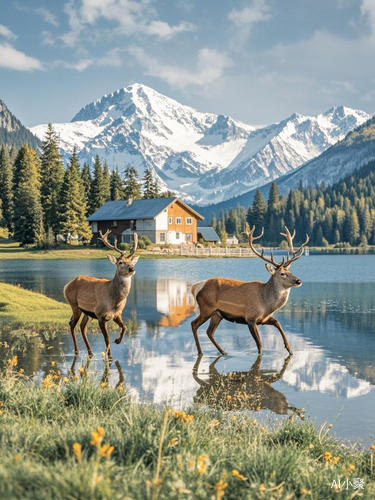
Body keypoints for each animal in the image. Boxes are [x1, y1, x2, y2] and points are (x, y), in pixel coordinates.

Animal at [63, 230, 140, 360]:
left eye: (131, 261)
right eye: (120, 262)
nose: (132, 268)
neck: (114, 300)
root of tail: (66, 286)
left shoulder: (117, 314)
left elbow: (125, 327)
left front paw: (117, 341)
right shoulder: (100, 315)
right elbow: (107, 338)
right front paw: (110, 357)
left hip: (87, 313)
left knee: (82, 327)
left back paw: (90, 352)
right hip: (74, 305)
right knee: (72, 324)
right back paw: (77, 351)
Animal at [192, 225, 310, 358]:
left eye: (290, 271)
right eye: (282, 274)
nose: (298, 281)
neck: (266, 304)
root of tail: (197, 287)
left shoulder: (263, 319)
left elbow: (278, 323)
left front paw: (290, 349)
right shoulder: (251, 319)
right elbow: (260, 345)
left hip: (217, 314)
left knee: (209, 332)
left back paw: (223, 352)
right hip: (206, 308)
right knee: (194, 324)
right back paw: (200, 352)